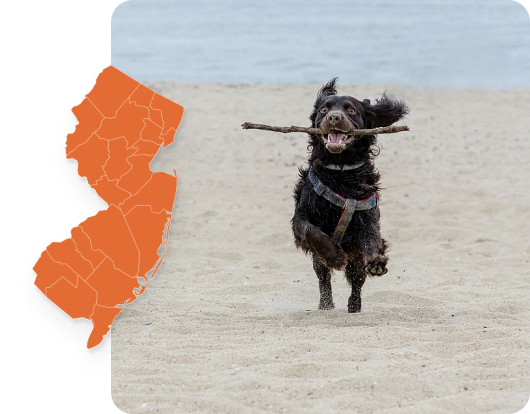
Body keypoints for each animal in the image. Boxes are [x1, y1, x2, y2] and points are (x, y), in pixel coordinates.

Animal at [288, 77, 408, 312]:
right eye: (324, 109)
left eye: (351, 110)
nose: (334, 117)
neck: (340, 170)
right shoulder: (300, 217)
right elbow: (311, 230)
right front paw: (335, 256)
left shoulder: (366, 215)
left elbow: (371, 238)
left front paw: (376, 262)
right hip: (319, 263)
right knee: (323, 278)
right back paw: (326, 304)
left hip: (356, 262)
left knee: (357, 281)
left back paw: (354, 306)